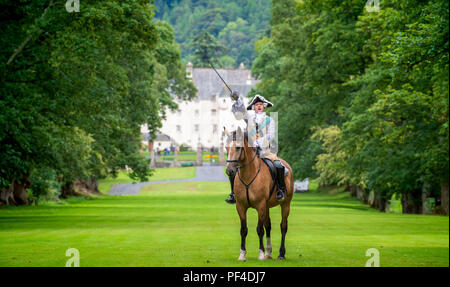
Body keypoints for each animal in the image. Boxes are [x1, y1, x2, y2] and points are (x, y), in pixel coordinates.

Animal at [225, 127, 296, 262]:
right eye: (226, 147)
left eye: (238, 148)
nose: (229, 170)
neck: (248, 175)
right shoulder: (241, 207)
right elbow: (244, 230)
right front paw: (242, 254)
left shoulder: (260, 206)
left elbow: (259, 229)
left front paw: (261, 253)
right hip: (267, 206)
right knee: (268, 226)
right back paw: (269, 252)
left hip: (285, 204)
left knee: (283, 226)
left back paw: (281, 254)